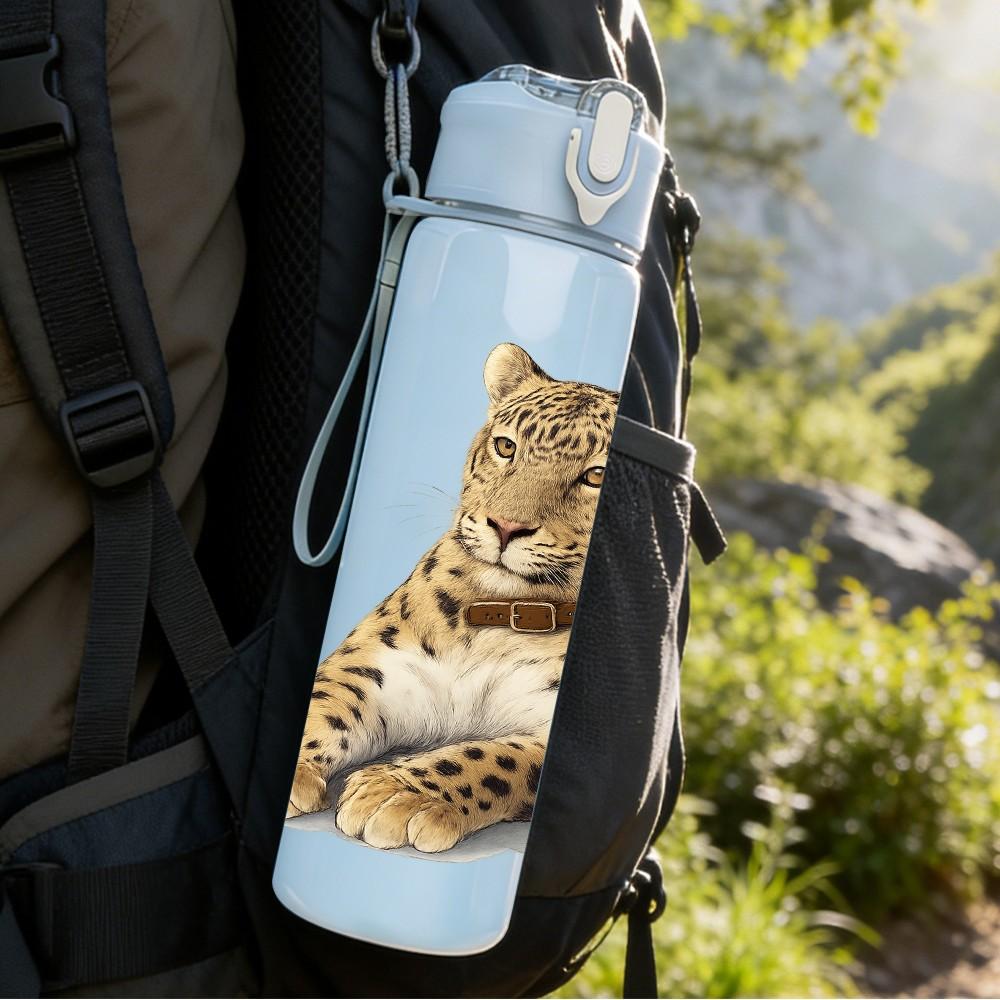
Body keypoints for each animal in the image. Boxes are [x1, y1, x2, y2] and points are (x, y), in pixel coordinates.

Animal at [286, 342, 618, 853]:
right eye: (507, 447)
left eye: (598, 476)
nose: (505, 526)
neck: (499, 624)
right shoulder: (373, 663)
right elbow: (326, 702)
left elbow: (492, 759)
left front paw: (396, 794)